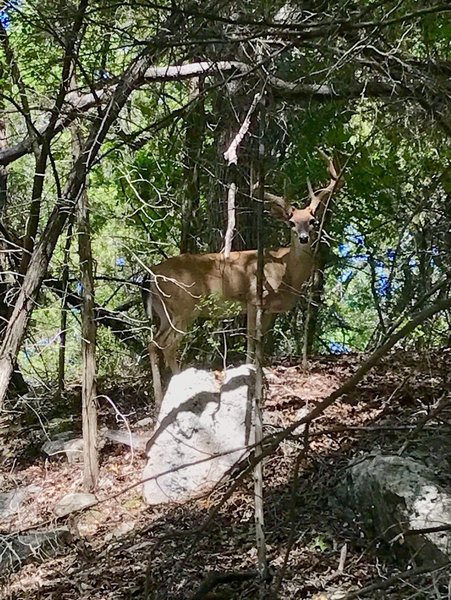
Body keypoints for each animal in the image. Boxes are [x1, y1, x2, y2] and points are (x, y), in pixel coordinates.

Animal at [143, 156, 344, 408]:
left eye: (313, 221)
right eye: (291, 223)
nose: (304, 238)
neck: (285, 271)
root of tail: (150, 275)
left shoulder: (270, 310)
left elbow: (261, 341)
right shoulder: (253, 298)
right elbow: (251, 339)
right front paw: (253, 379)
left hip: (165, 311)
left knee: (154, 343)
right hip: (183, 306)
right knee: (165, 345)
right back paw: (168, 394)